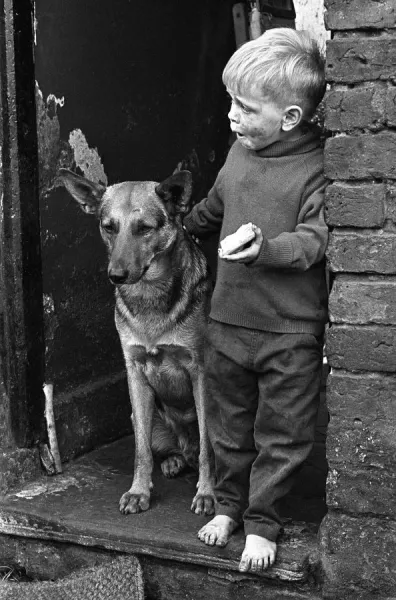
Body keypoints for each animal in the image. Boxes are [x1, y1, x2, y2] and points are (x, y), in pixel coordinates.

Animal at [58, 168, 215, 516]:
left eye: (144, 228)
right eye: (109, 227)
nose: (116, 275)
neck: (150, 295)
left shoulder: (200, 372)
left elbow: (208, 448)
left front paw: (207, 493)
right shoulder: (135, 373)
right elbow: (141, 450)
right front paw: (139, 491)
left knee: (201, 448)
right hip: (146, 417)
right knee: (172, 449)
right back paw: (172, 461)